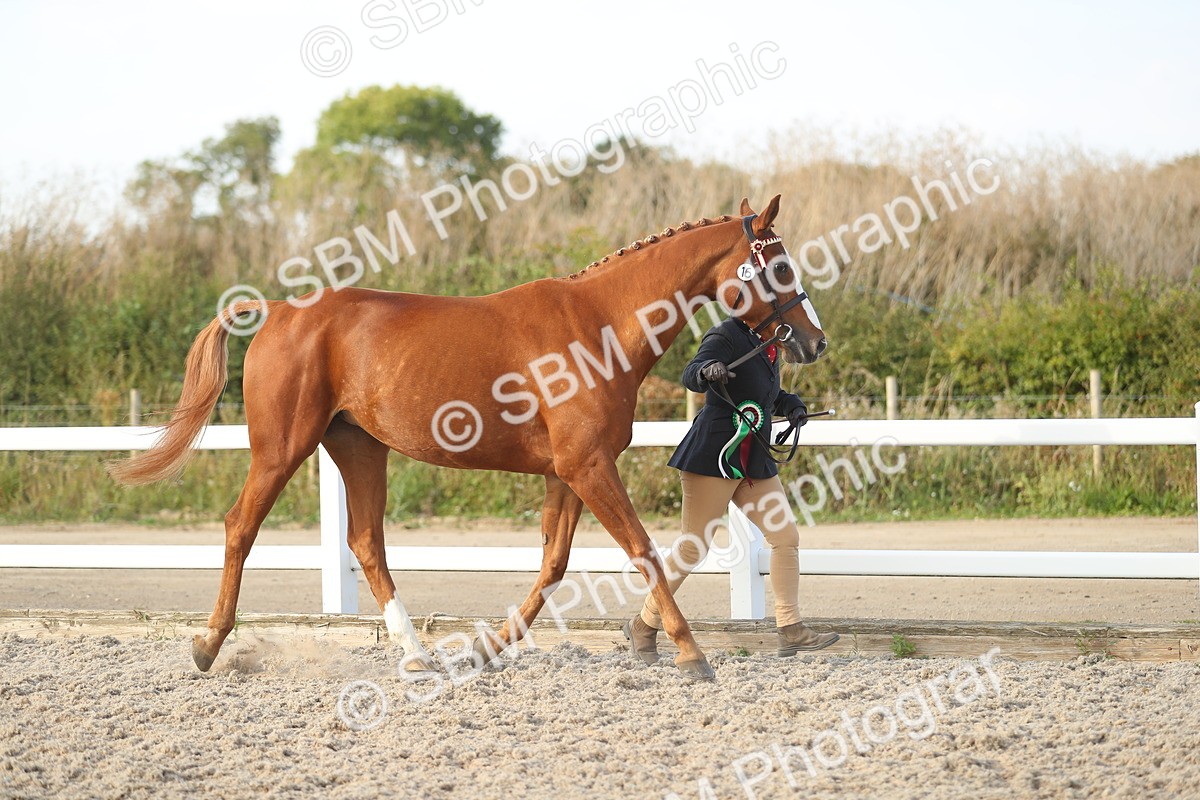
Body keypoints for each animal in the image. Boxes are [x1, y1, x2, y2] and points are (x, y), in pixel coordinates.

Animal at [108, 195, 826, 681]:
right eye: (779, 266)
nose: (813, 341)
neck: (597, 327)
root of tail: (281, 311)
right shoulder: (588, 467)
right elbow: (645, 552)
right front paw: (692, 653)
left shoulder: (567, 472)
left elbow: (554, 564)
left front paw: (487, 649)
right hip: (283, 447)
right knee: (241, 527)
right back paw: (207, 645)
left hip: (358, 448)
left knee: (366, 543)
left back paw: (418, 655)